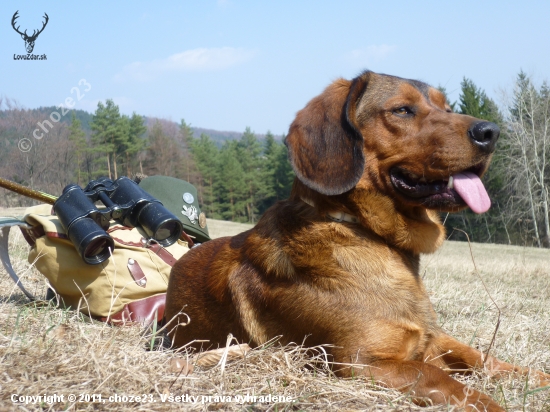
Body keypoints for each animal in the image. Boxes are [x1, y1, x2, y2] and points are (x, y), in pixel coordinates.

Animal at [165, 70, 550, 408]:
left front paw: (534, 377)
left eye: (447, 108)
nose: (492, 132)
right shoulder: (360, 361)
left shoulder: (431, 339)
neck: (368, 234)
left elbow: (482, 358)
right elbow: (439, 377)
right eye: (402, 110)